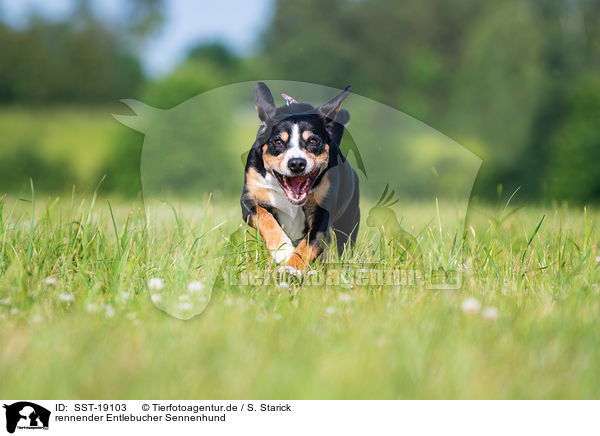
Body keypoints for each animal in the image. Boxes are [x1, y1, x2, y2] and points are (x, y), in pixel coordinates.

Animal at [240, 82, 360, 272]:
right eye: (278, 142)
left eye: (313, 141)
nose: (296, 163)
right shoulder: (250, 198)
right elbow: (265, 218)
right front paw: (283, 250)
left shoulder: (323, 213)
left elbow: (309, 244)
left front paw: (292, 269)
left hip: (349, 221)